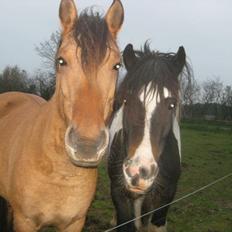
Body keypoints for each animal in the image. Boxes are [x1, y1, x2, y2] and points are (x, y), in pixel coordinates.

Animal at [0, 0, 124, 231]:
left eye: (117, 65)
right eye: (61, 61)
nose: (86, 146)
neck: (61, 174)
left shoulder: (75, 222)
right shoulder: (25, 221)